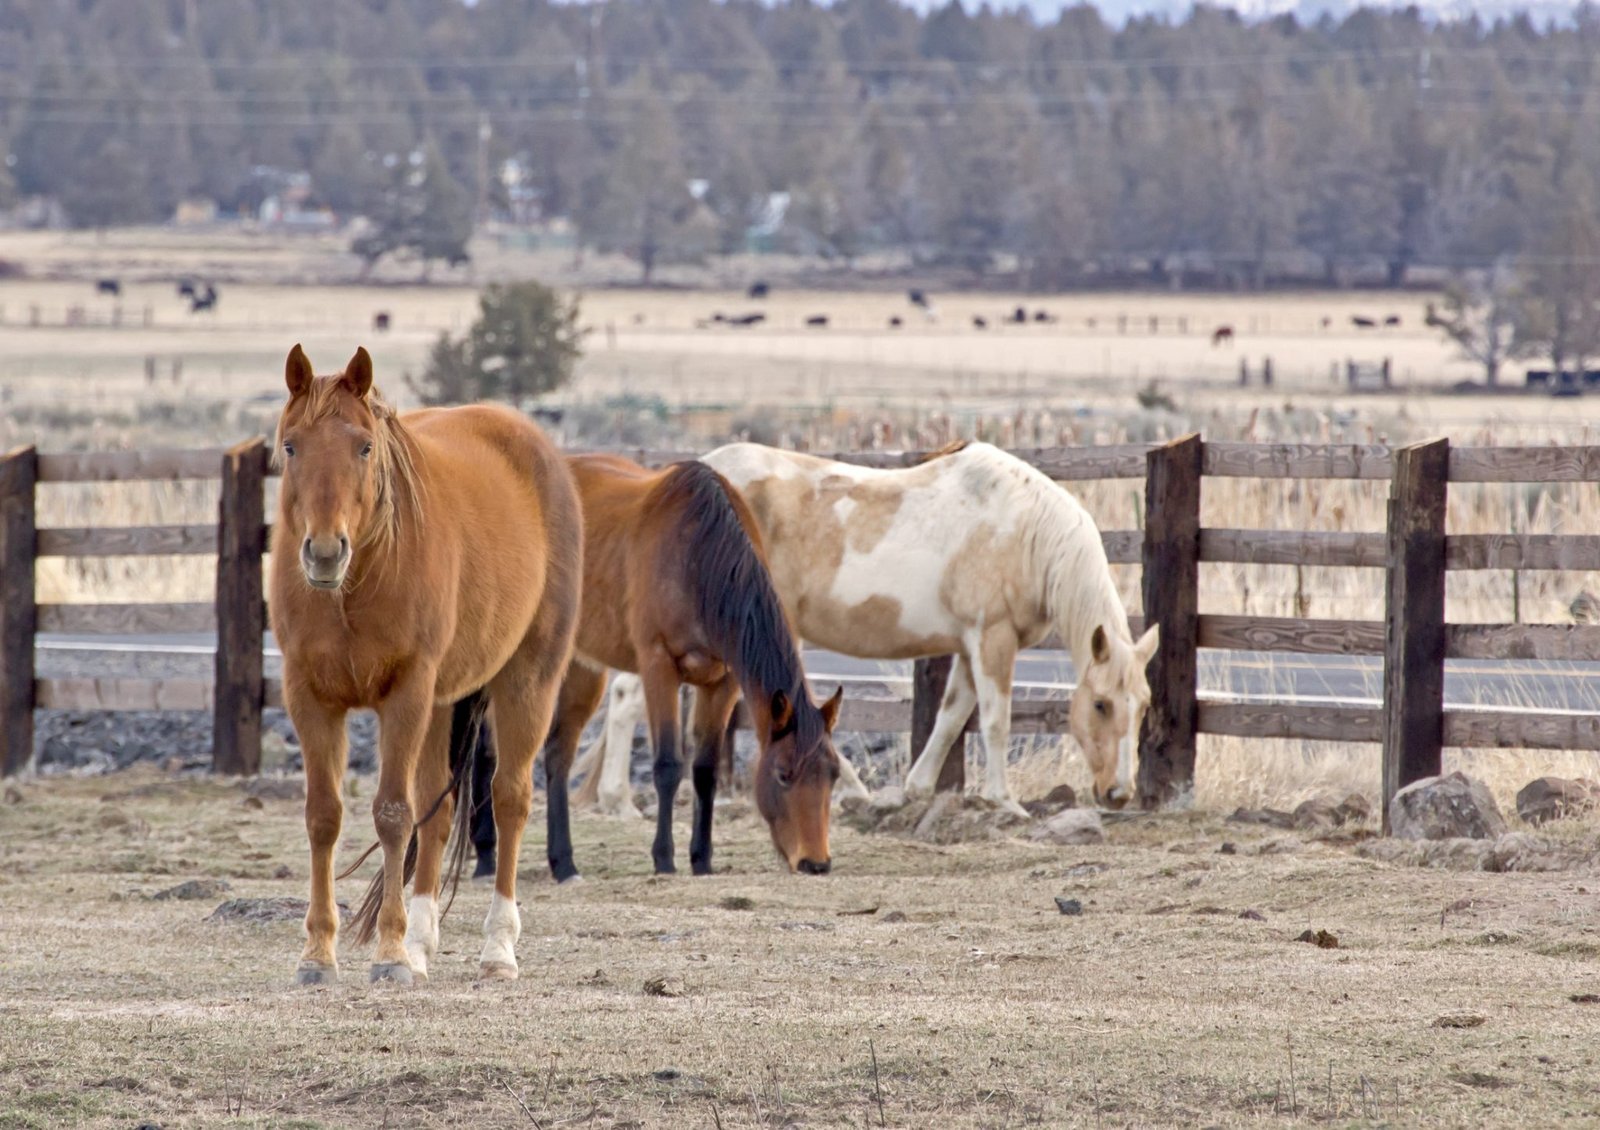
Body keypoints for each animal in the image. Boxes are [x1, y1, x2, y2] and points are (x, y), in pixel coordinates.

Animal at [269, 344, 582, 986]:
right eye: (290, 446)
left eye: (364, 447)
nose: (324, 553)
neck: (354, 589)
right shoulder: (309, 696)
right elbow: (324, 816)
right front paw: (319, 955)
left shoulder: (406, 695)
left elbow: (393, 814)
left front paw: (387, 955)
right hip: (442, 704)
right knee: (437, 812)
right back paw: (421, 944)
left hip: (527, 681)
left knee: (509, 799)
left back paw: (497, 949)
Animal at [539, 454, 843, 882]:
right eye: (784, 774)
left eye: (833, 774)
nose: (816, 863)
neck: (697, 558)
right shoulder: (659, 666)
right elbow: (668, 764)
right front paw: (664, 859)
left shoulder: (723, 682)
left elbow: (704, 769)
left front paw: (702, 860)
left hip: (584, 667)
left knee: (558, 752)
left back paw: (564, 862)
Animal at [587, 442, 1157, 812]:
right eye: (1101, 704)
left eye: (1144, 705)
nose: (1119, 794)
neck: (1025, 529)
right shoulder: (992, 638)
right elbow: (995, 719)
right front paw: (1004, 802)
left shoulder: (970, 645)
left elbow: (953, 715)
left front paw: (918, 789)